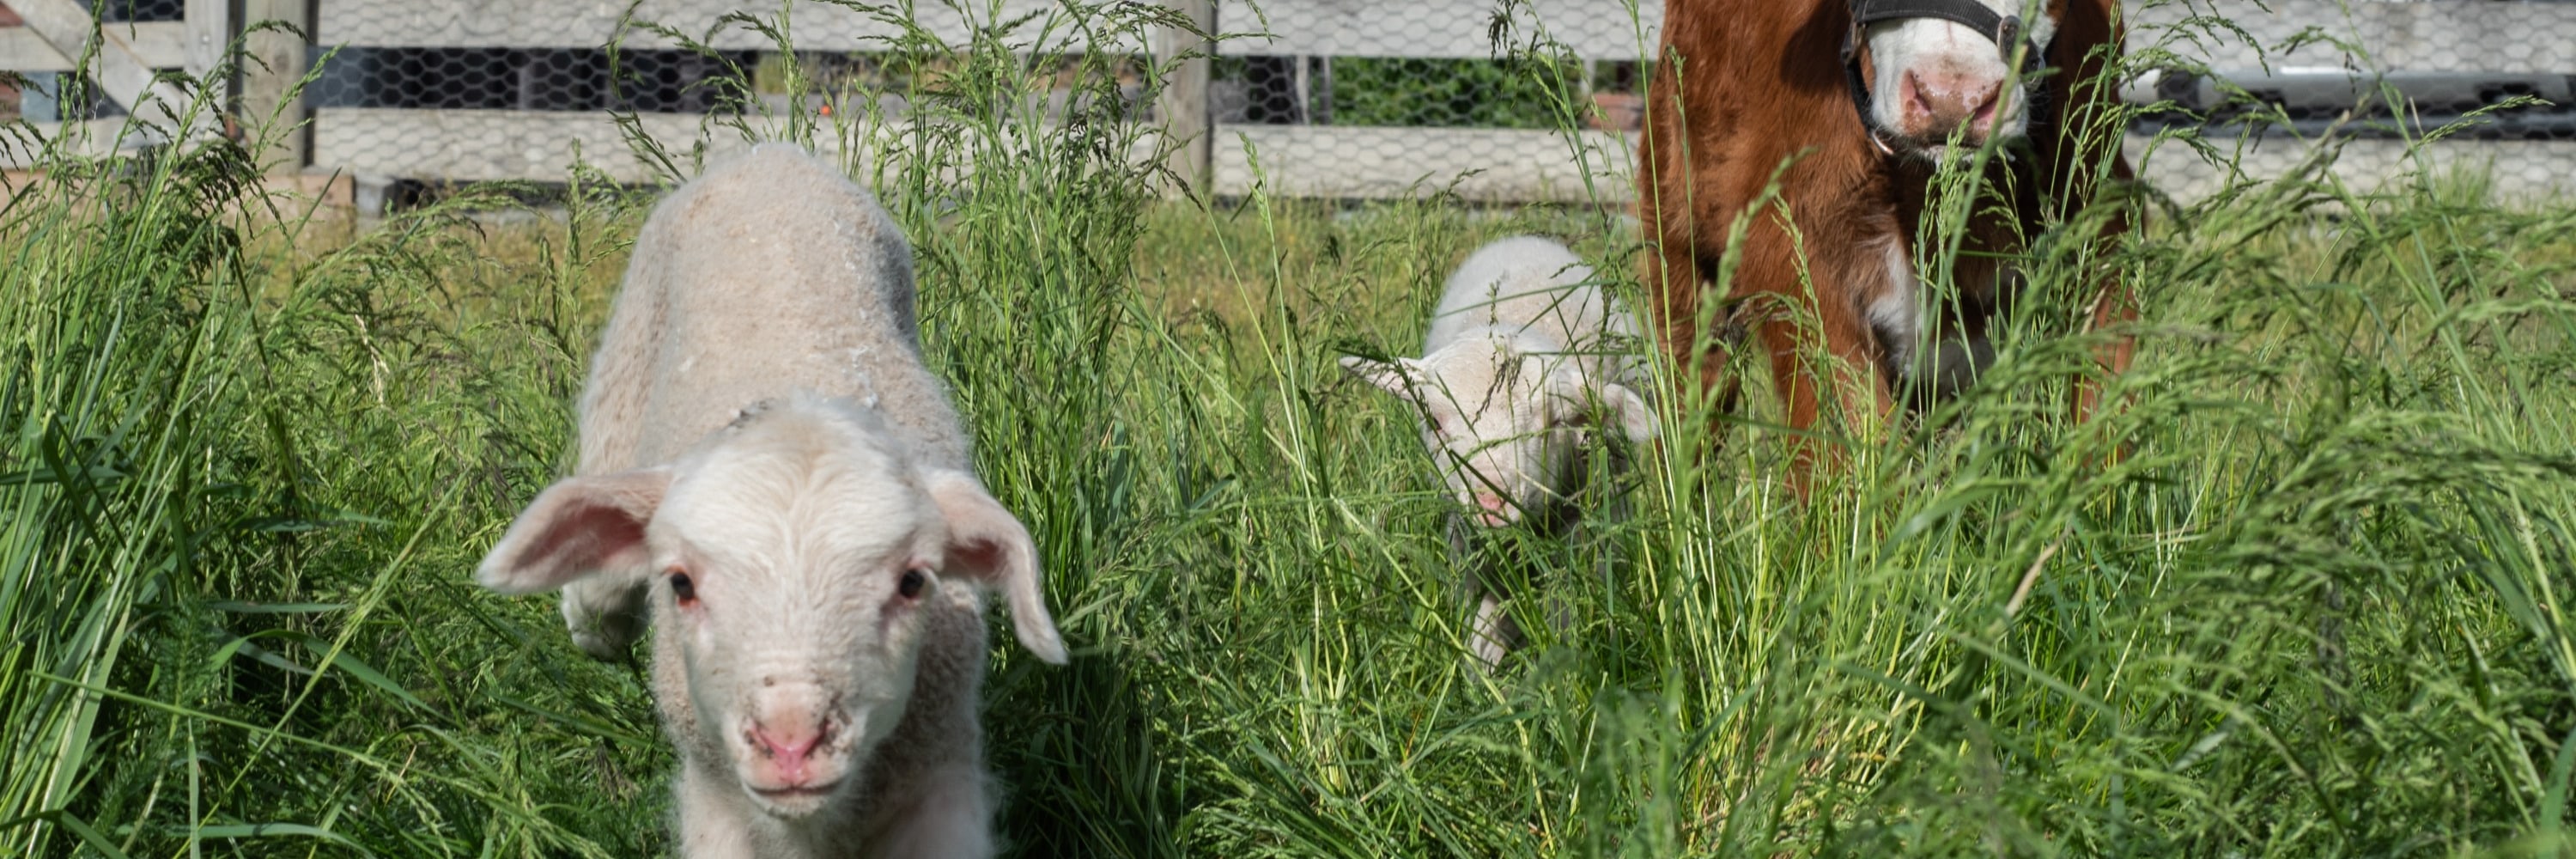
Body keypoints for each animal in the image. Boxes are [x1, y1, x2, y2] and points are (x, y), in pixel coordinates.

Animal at [469, 143, 1061, 850]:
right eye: (681, 584)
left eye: (914, 582)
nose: (791, 743)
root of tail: (771, 153)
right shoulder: (715, 802)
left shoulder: (939, 786)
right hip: (622, 384)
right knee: (597, 597)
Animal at [1340, 235, 1659, 670]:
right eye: (1435, 421)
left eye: (1553, 420)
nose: (1491, 501)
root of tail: (1527, 239)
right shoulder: (1467, 539)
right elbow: (1482, 624)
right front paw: (1481, 674)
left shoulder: (1585, 525)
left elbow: (1564, 609)